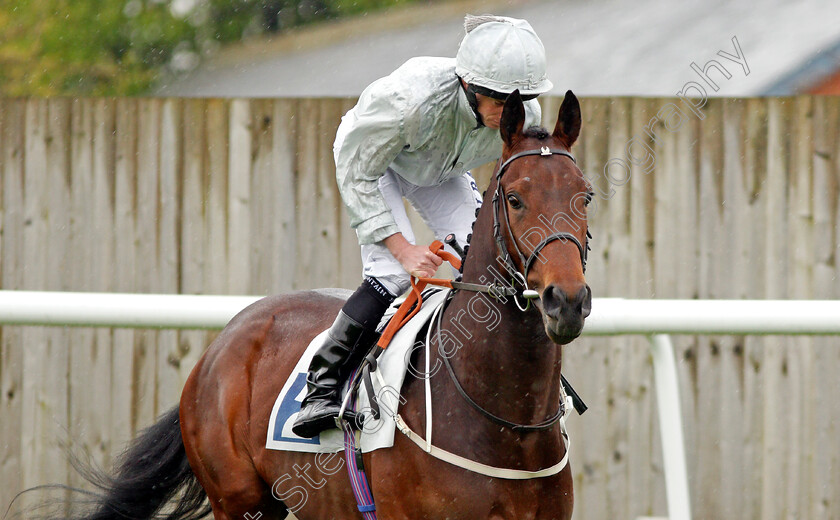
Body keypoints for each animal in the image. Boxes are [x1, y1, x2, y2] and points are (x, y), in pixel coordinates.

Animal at [50, 89, 592, 520]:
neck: (507, 423)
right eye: (515, 199)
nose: (566, 300)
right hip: (239, 501)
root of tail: (218, 346)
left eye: (585, 196)